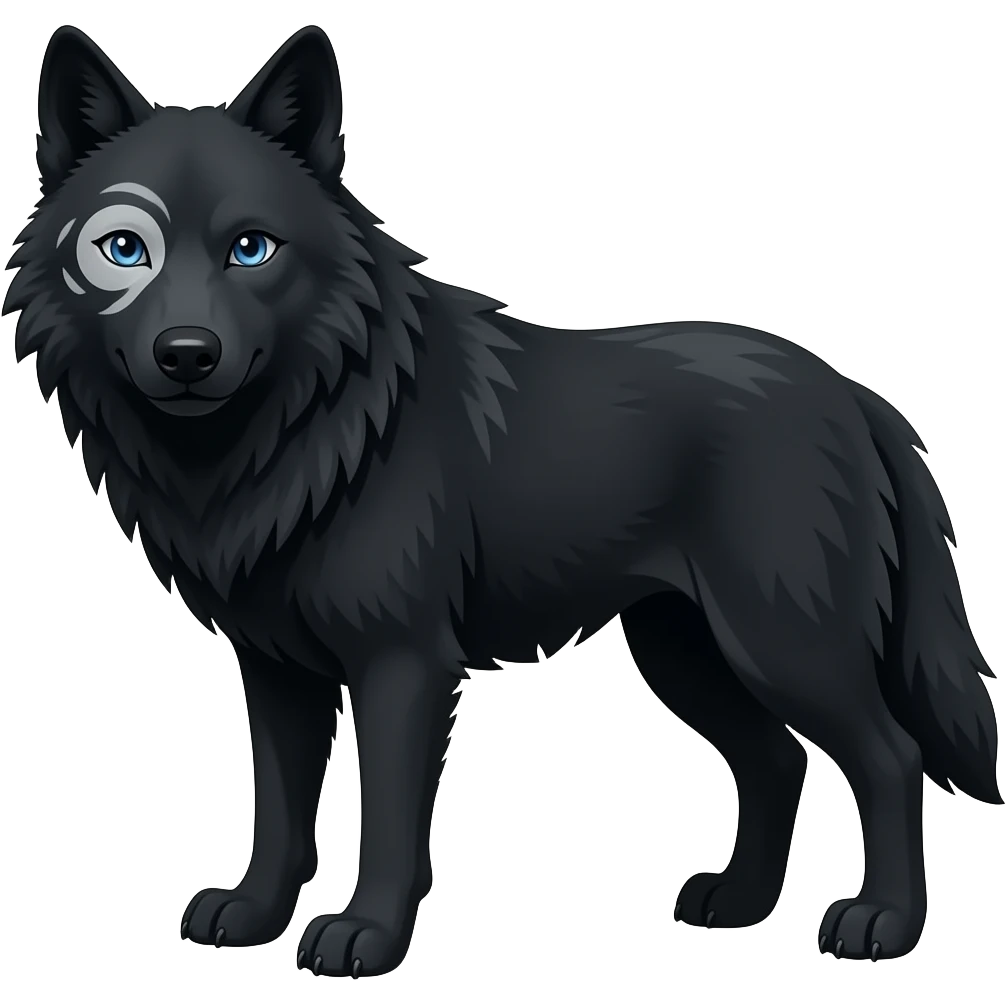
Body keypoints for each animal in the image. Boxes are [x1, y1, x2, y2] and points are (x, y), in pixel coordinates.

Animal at [4, 24, 1001, 977]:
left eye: (250, 248)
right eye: (125, 249)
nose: (186, 354)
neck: (303, 434)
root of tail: (858, 396)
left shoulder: (403, 663)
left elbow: (387, 820)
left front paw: (365, 937)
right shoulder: (276, 669)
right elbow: (281, 811)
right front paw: (253, 917)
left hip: (782, 641)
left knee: (891, 757)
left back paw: (882, 924)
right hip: (685, 651)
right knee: (778, 758)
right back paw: (738, 904)